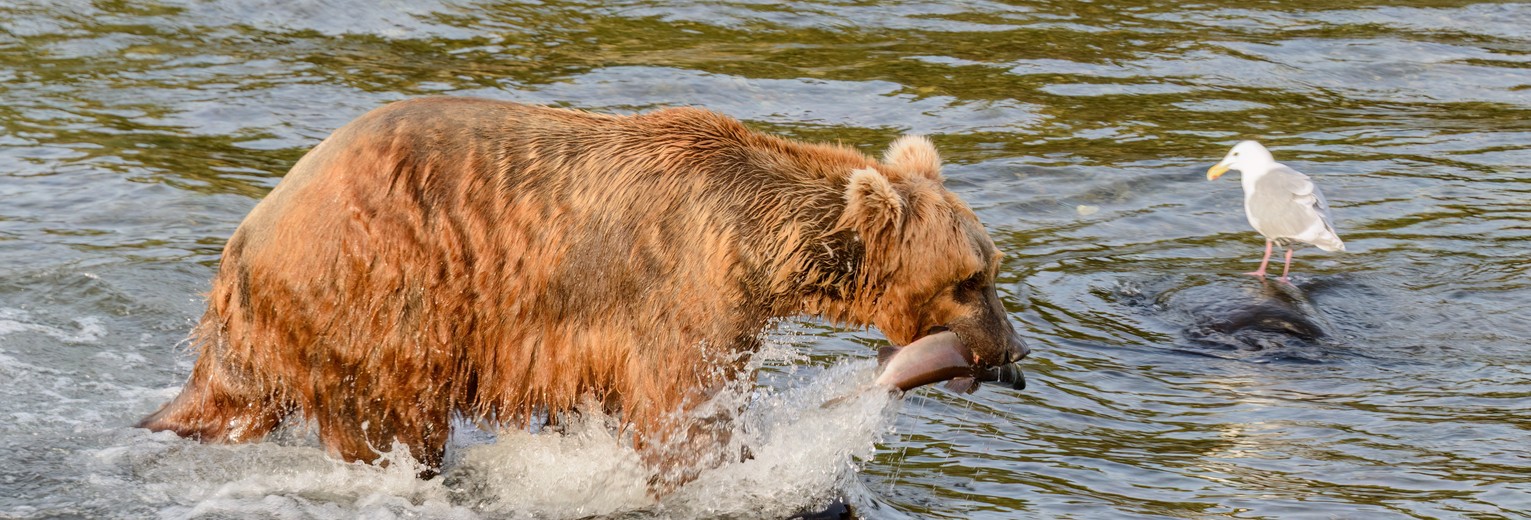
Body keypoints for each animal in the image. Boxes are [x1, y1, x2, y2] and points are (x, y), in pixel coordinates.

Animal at [139, 96, 1029, 488]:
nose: (1011, 354)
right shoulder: (683, 289)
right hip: (383, 295)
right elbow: (684, 409)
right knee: (387, 416)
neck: (759, 247)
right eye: (969, 280)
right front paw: (724, 472)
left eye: (991, 269)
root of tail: (249, 235)